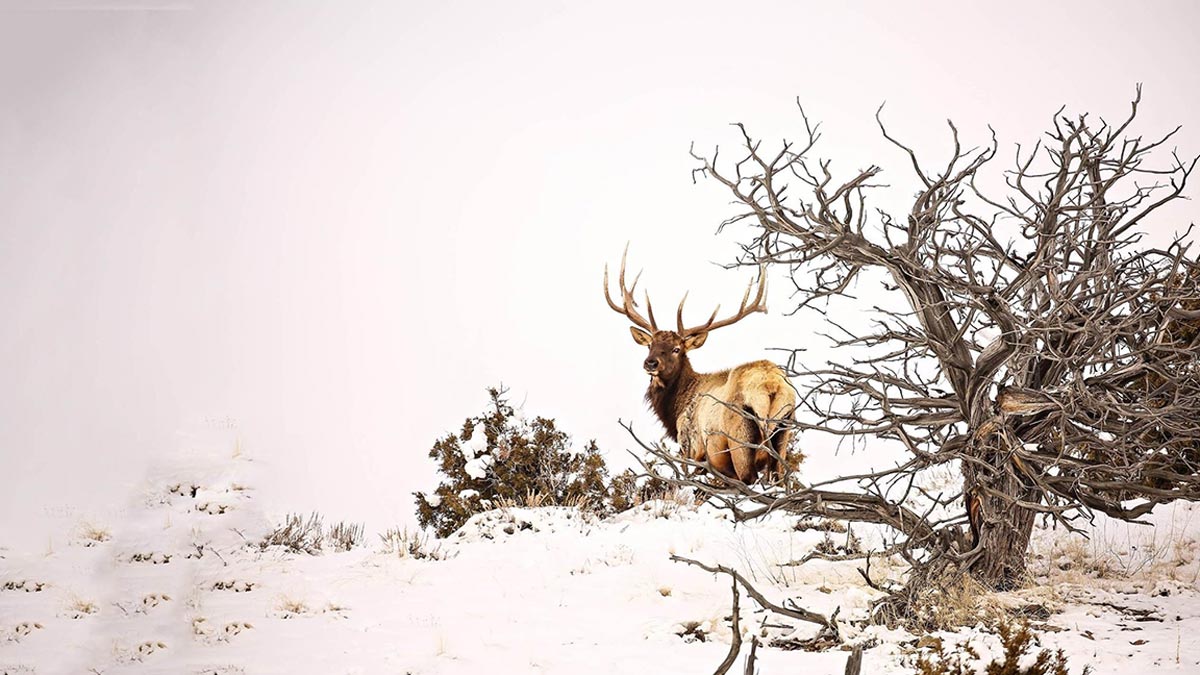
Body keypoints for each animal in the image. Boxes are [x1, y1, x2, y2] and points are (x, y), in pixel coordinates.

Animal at [604, 249, 797, 485]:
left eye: (676, 348)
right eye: (650, 344)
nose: (650, 362)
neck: (676, 407)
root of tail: (771, 386)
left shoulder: (689, 447)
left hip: (739, 437)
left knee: (748, 478)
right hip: (784, 432)